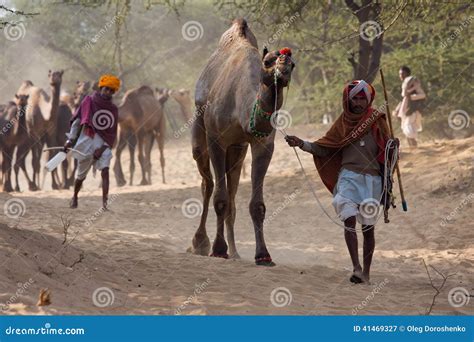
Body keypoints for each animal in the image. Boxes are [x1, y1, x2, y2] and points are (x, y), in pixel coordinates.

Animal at [190, 18, 294, 266]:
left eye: (294, 64)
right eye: (267, 61)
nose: (284, 66)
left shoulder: (262, 144)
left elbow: (257, 205)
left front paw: (263, 255)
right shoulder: (216, 139)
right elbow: (220, 199)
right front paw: (218, 249)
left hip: (238, 149)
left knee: (232, 193)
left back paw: (235, 251)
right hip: (200, 132)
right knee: (208, 184)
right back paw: (200, 243)